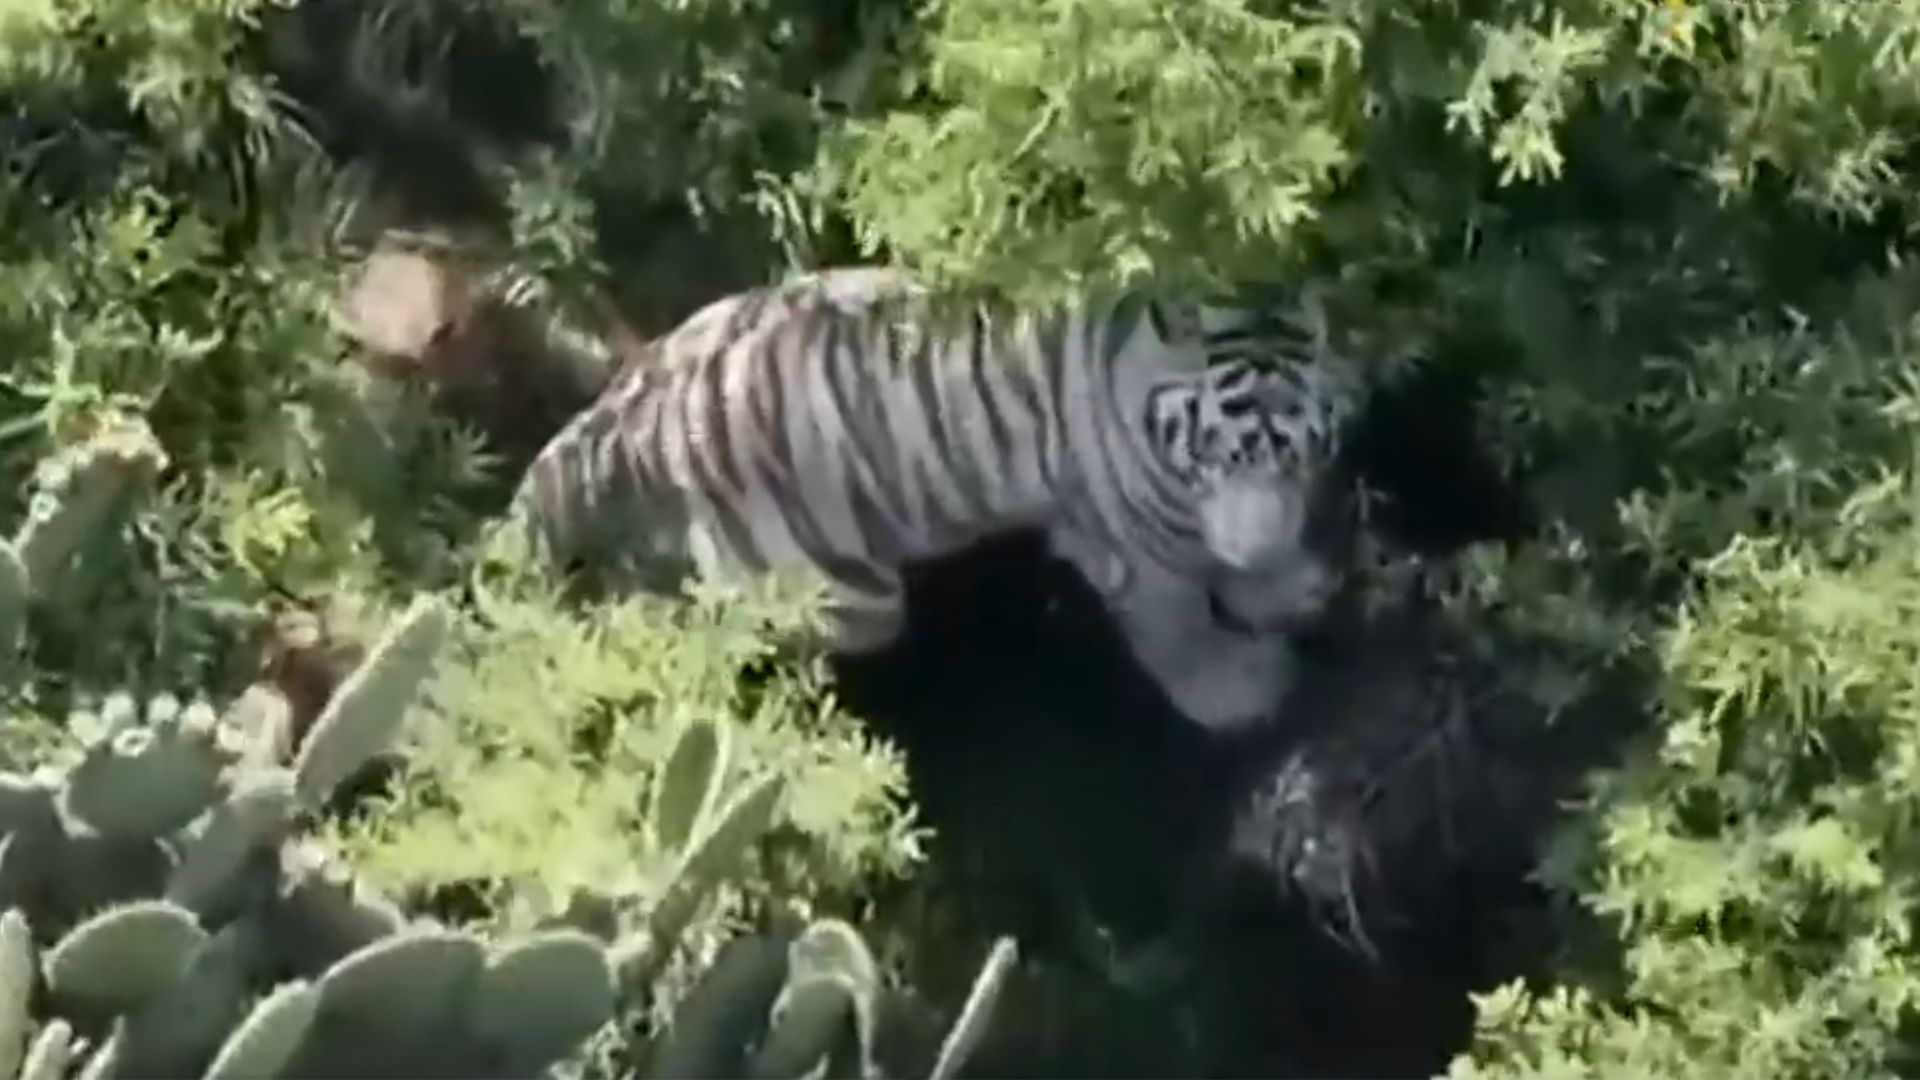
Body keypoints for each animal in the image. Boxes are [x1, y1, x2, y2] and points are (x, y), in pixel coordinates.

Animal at [502, 265, 1366, 733]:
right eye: (1212, 453)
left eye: (1295, 453)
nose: (1255, 545)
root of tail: (637, 410)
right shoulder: (1131, 539)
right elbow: (1179, 625)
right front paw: (1240, 689)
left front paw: (1285, 583)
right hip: (844, 599)